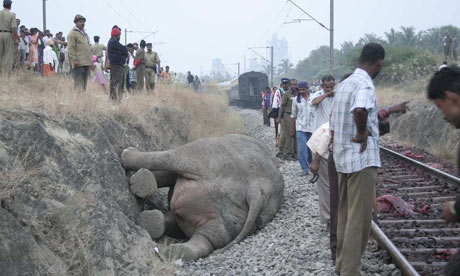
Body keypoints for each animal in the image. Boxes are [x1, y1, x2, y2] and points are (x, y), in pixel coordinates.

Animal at [119, 134, 284, 260]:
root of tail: (258, 186)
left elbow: (168, 174)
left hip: (206, 156)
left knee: (173, 157)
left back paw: (127, 154)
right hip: (235, 218)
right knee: (210, 236)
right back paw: (170, 244)